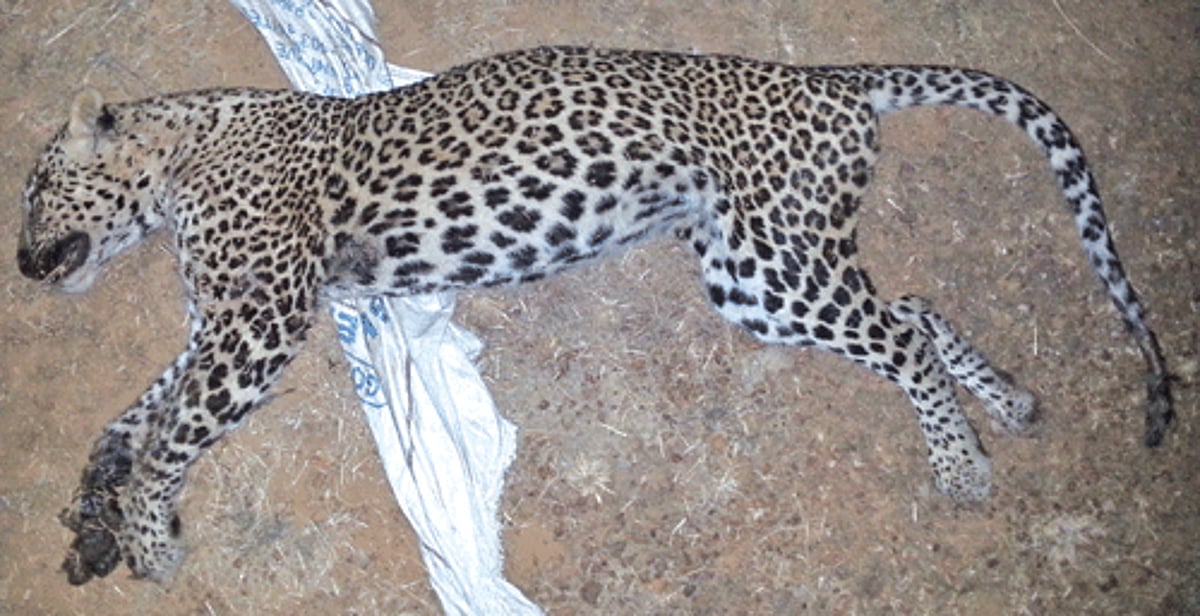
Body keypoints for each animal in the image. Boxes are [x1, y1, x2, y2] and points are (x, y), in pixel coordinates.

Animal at [16, 46, 1172, 586]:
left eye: (32, 189)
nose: (21, 264)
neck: (176, 164)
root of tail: (821, 80)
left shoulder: (253, 320)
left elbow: (169, 434)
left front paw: (150, 539)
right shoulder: (214, 323)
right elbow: (137, 413)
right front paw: (99, 500)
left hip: (773, 262)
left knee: (902, 333)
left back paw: (964, 463)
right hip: (757, 271)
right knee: (920, 308)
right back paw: (1010, 403)